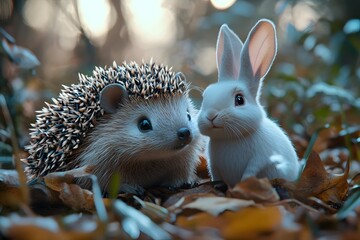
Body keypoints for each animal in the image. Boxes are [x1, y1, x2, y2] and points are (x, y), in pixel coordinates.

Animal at [198, 19, 300, 187]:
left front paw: (244, 184)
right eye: (205, 96)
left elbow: (251, 171)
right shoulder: (213, 163)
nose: (211, 115)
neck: (230, 138)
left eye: (239, 99)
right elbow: (215, 174)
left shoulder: (261, 157)